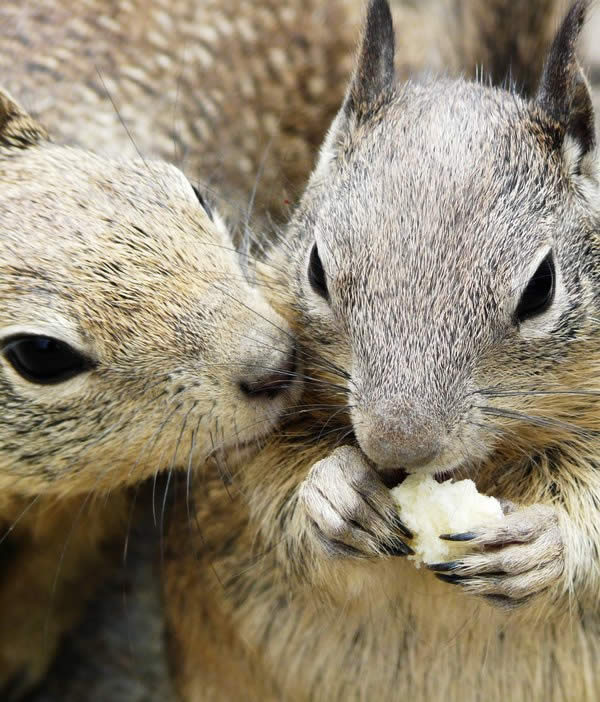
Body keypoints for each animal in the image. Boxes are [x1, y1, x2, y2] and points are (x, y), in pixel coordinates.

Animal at [164, 1, 600, 702]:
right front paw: (335, 494)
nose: (397, 446)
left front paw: (543, 545)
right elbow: (263, 473)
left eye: (541, 288)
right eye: (316, 268)